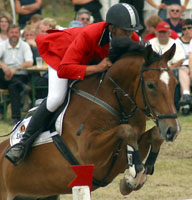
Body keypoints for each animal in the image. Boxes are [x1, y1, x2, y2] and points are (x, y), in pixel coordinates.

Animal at [0, 37, 180, 198]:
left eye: (175, 83)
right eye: (150, 85)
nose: (172, 130)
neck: (113, 102)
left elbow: (152, 134)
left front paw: (136, 176)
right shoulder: (88, 152)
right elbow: (126, 130)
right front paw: (133, 177)